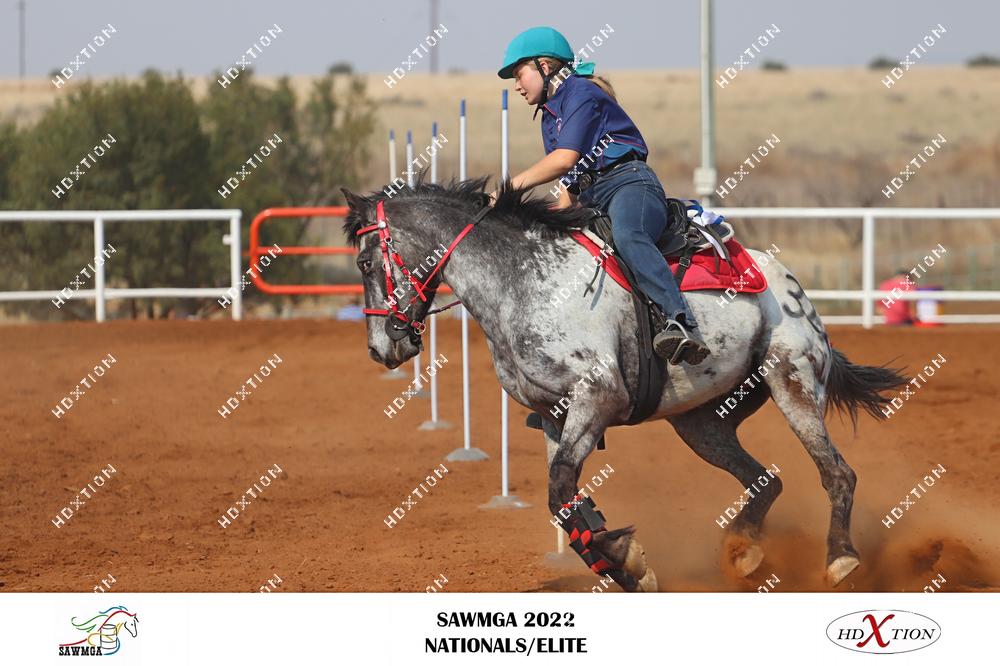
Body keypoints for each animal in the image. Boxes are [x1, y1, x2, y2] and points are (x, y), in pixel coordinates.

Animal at [341, 176, 907, 592]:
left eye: (365, 262)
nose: (380, 348)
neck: (522, 279)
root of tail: (787, 280)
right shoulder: (554, 416)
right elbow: (565, 501)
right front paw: (625, 565)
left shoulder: (598, 397)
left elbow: (560, 490)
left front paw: (624, 557)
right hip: (702, 423)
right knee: (765, 480)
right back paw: (743, 552)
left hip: (793, 383)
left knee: (837, 473)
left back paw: (840, 560)